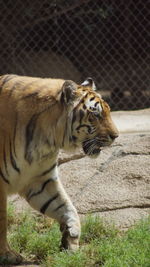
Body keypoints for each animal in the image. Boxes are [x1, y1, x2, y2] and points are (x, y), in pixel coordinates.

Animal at [0, 74, 118, 264]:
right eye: (96, 114)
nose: (116, 136)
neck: (46, 140)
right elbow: (2, 220)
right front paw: (7, 254)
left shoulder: (40, 180)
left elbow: (66, 207)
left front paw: (71, 239)